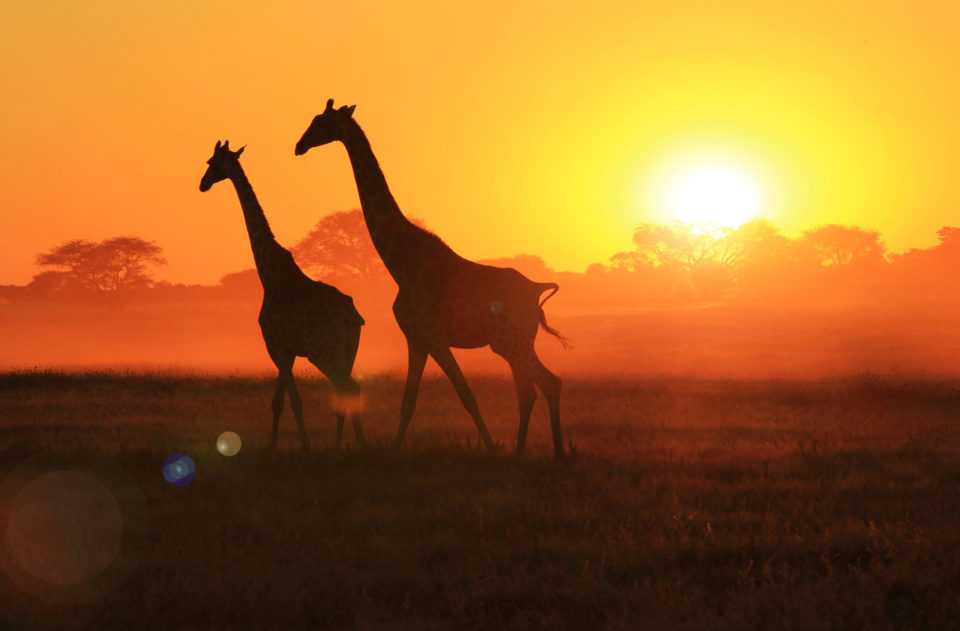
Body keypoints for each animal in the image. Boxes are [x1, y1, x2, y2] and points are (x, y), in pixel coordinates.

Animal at [199, 141, 368, 452]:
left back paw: (359, 446)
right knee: (349, 390)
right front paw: (273, 446)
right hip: (349, 348)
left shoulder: (274, 344)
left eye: (211, 162)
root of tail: (349, 315)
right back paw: (343, 446)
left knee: (348, 387)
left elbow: (294, 401)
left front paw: (305, 447)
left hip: (322, 352)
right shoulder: (284, 349)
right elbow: (277, 402)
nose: (202, 184)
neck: (269, 273)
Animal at [296, 99, 568, 460]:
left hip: (512, 342)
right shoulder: (416, 338)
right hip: (514, 344)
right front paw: (394, 449)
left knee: (546, 384)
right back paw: (527, 452)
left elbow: (466, 395)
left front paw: (491, 448)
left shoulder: (434, 337)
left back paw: (555, 453)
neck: (401, 262)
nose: (299, 146)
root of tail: (536, 291)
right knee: (533, 390)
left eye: (323, 124)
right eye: (314, 120)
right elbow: (409, 401)